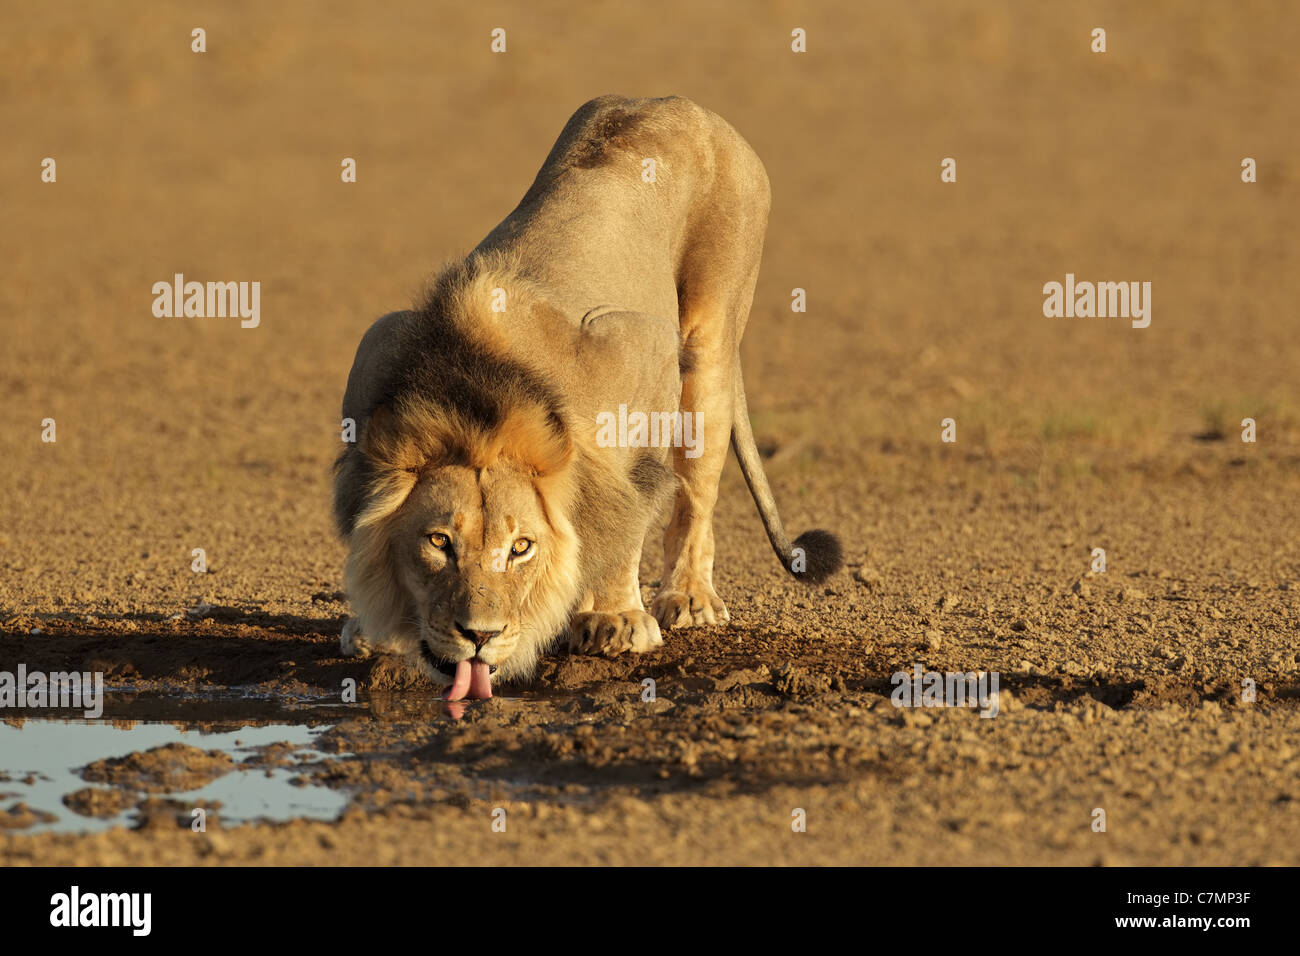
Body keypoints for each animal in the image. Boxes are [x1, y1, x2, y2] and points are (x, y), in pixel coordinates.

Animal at [335, 93, 842, 697]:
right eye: (438, 542)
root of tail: (684, 103)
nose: (479, 635)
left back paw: (687, 597)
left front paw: (616, 620)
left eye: (521, 548)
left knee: (696, 492)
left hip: (710, 342)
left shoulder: (641, 350)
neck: (478, 395)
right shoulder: (374, 353)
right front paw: (375, 632)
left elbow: (629, 511)